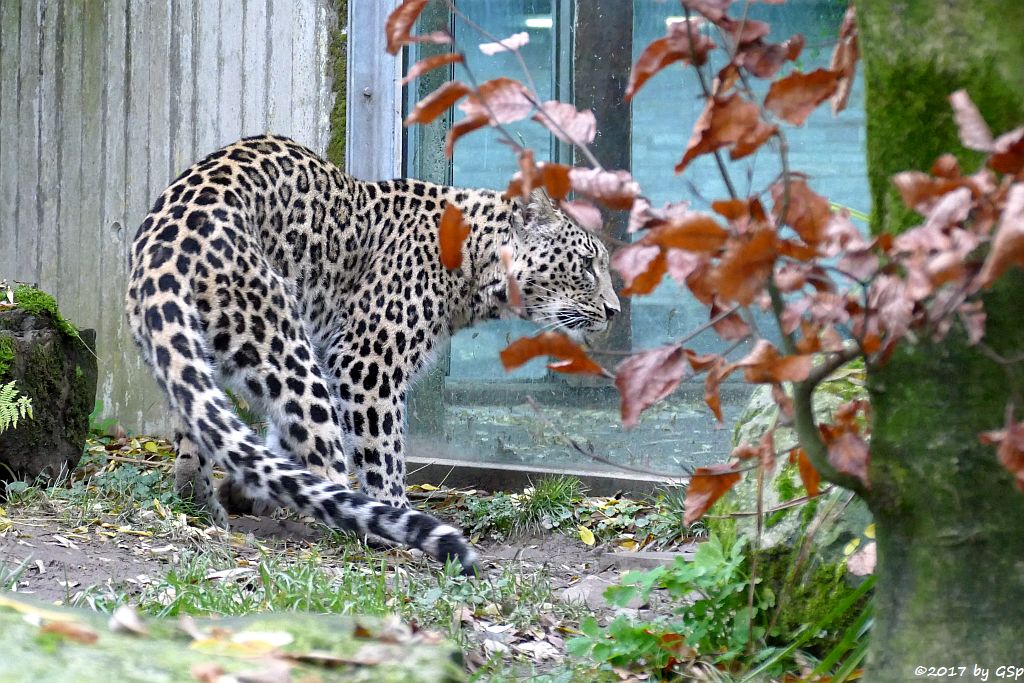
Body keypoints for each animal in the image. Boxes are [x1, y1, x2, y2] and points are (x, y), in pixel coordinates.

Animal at [121, 132, 614, 573]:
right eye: (588, 264)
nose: (614, 310)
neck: (476, 269)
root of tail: (162, 246)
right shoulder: (367, 364)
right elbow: (382, 454)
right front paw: (392, 507)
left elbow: (277, 441)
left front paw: (248, 491)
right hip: (285, 346)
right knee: (329, 459)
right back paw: (377, 527)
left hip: (194, 355)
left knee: (200, 432)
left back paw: (204, 504)